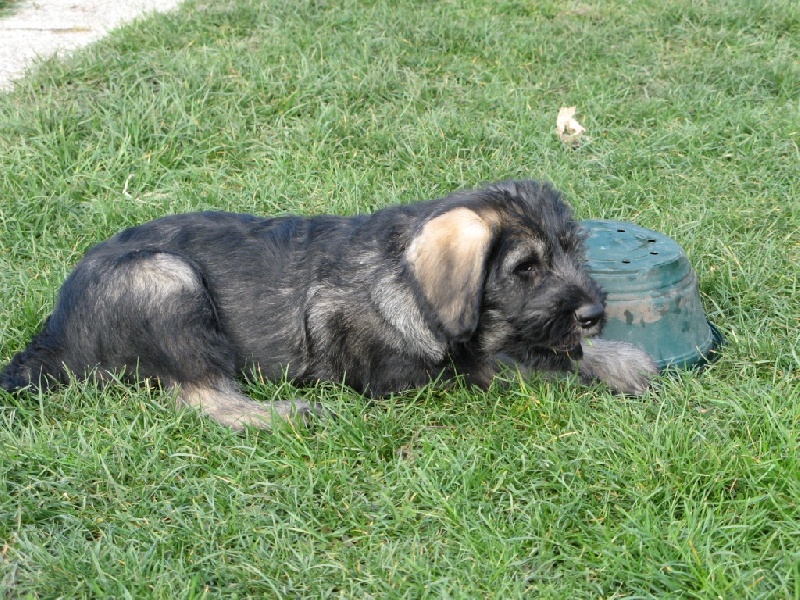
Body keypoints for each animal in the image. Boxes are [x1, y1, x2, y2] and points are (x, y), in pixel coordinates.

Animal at [0, 180, 656, 428]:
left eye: (573, 250)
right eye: (525, 268)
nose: (594, 314)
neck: (405, 282)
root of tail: (53, 335)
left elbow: (551, 352)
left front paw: (618, 358)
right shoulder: (412, 378)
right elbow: (523, 363)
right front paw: (613, 361)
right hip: (166, 277)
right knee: (205, 398)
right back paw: (293, 414)